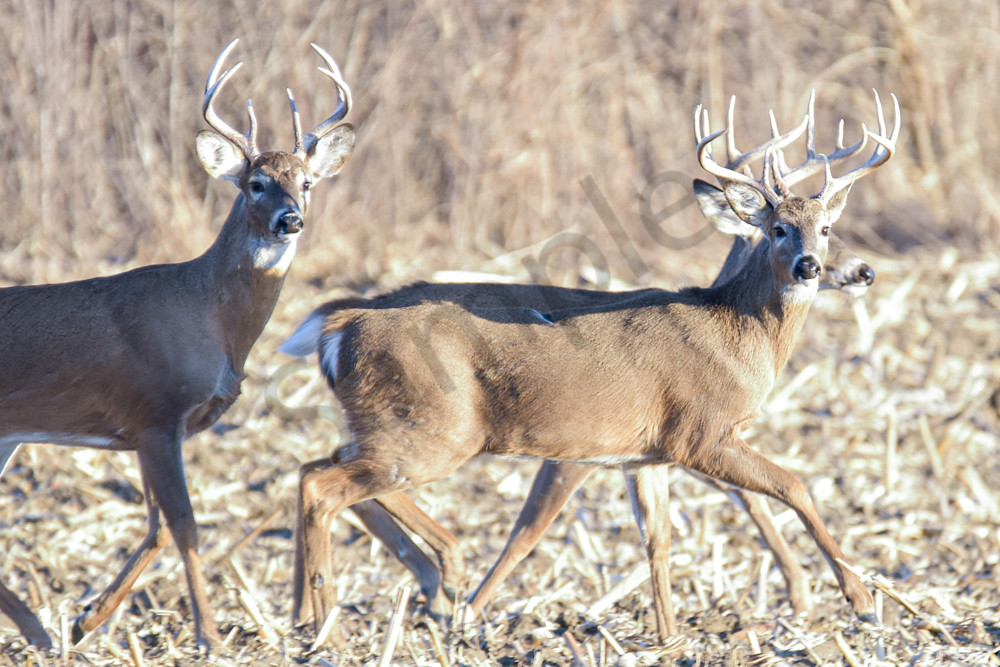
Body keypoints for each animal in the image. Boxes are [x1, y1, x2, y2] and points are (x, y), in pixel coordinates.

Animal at [0, 39, 355, 651]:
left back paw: (43, 631)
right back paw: (37, 630)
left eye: (306, 182)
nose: (291, 219)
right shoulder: (157, 413)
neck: (211, 319)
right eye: (256, 183)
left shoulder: (145, 428)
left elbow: (157, 530)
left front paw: (88, 617)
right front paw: (209, 635)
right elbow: (186, 528)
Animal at [284, 90, 898, 638]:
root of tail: (340, 327)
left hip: (388, 428)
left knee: (312, 468)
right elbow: (795, 486)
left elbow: (658, 541)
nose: (814, 266)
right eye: (777, 228)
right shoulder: (699, 433)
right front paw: (863, 601)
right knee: (324, 487)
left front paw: (670, 639)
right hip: (431, 431)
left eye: (826, 227)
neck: (735, 333)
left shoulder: (645, 455)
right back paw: (339, 625)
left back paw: (327, 613)